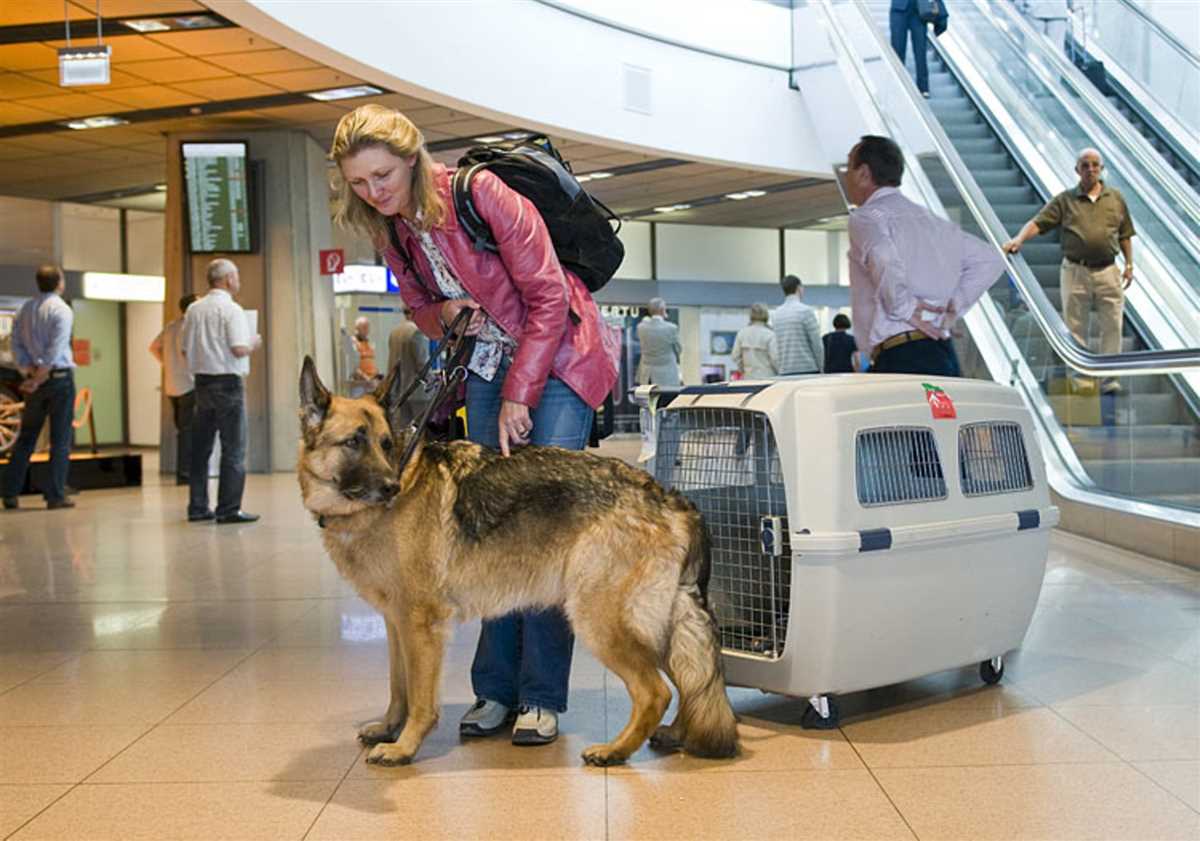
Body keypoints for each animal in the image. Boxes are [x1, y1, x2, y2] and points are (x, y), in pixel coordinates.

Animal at [295, 357, 734, 763]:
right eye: (354, 442)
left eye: (385, 444)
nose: (391, 487)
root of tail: (669, 497)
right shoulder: (395, 623)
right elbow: (397, 687)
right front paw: (389, 727)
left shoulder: (420, 625)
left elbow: (419, 698)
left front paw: (404, 746)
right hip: (658, 626)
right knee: (692, 679)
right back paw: (675, 734)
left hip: (599, 620)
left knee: (656, 691)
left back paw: (615, 750)